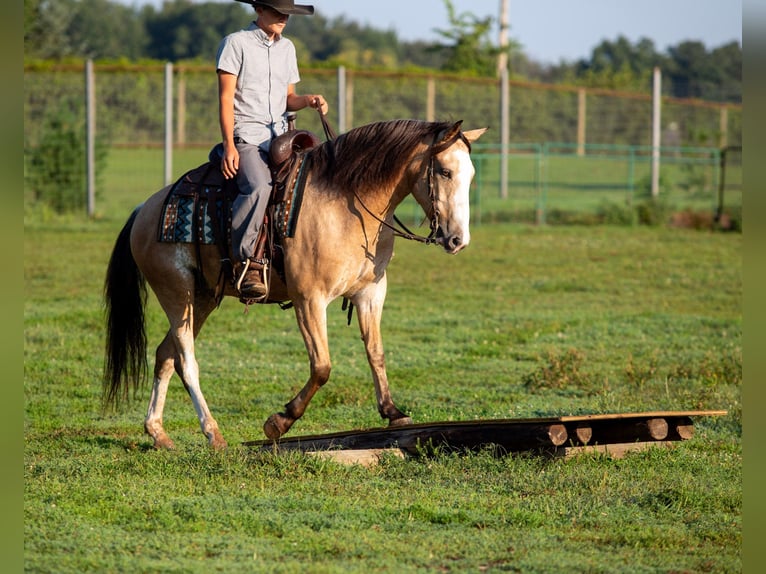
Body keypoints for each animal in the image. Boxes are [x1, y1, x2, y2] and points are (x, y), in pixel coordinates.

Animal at [103, 118, 487, 449]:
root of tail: (146, 208)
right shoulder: (309, 299)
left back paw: (158, 432)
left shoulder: (370, 293)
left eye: (470, 175)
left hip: (202, 299)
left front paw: (393, 413)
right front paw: (279, 421)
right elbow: (322, 367)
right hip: (176, 293)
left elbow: (375, 352)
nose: (459, 240)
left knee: (165, 355)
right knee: (186, 361)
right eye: (445, 171)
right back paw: (212, 432)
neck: (346, 203)